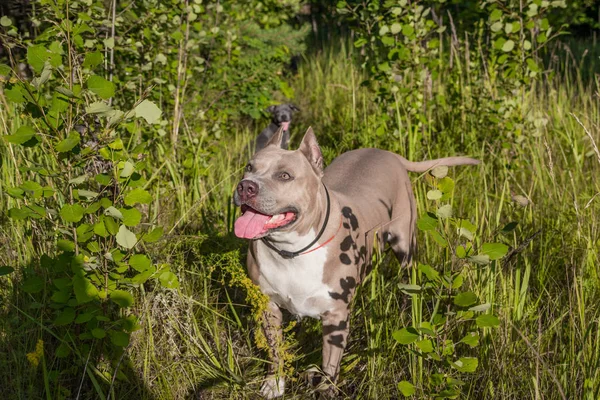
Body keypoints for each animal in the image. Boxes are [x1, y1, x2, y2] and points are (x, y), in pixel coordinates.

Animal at [233, 127, 478, 396]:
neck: (291, 251)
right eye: (249, 167)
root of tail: (387, 153)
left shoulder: (336, 317)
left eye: (284, 175)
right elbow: (275, 349)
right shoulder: (267, 306)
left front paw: (326, 391)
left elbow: (330, 362)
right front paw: (275, 382)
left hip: (405, 242)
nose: (246, 187)